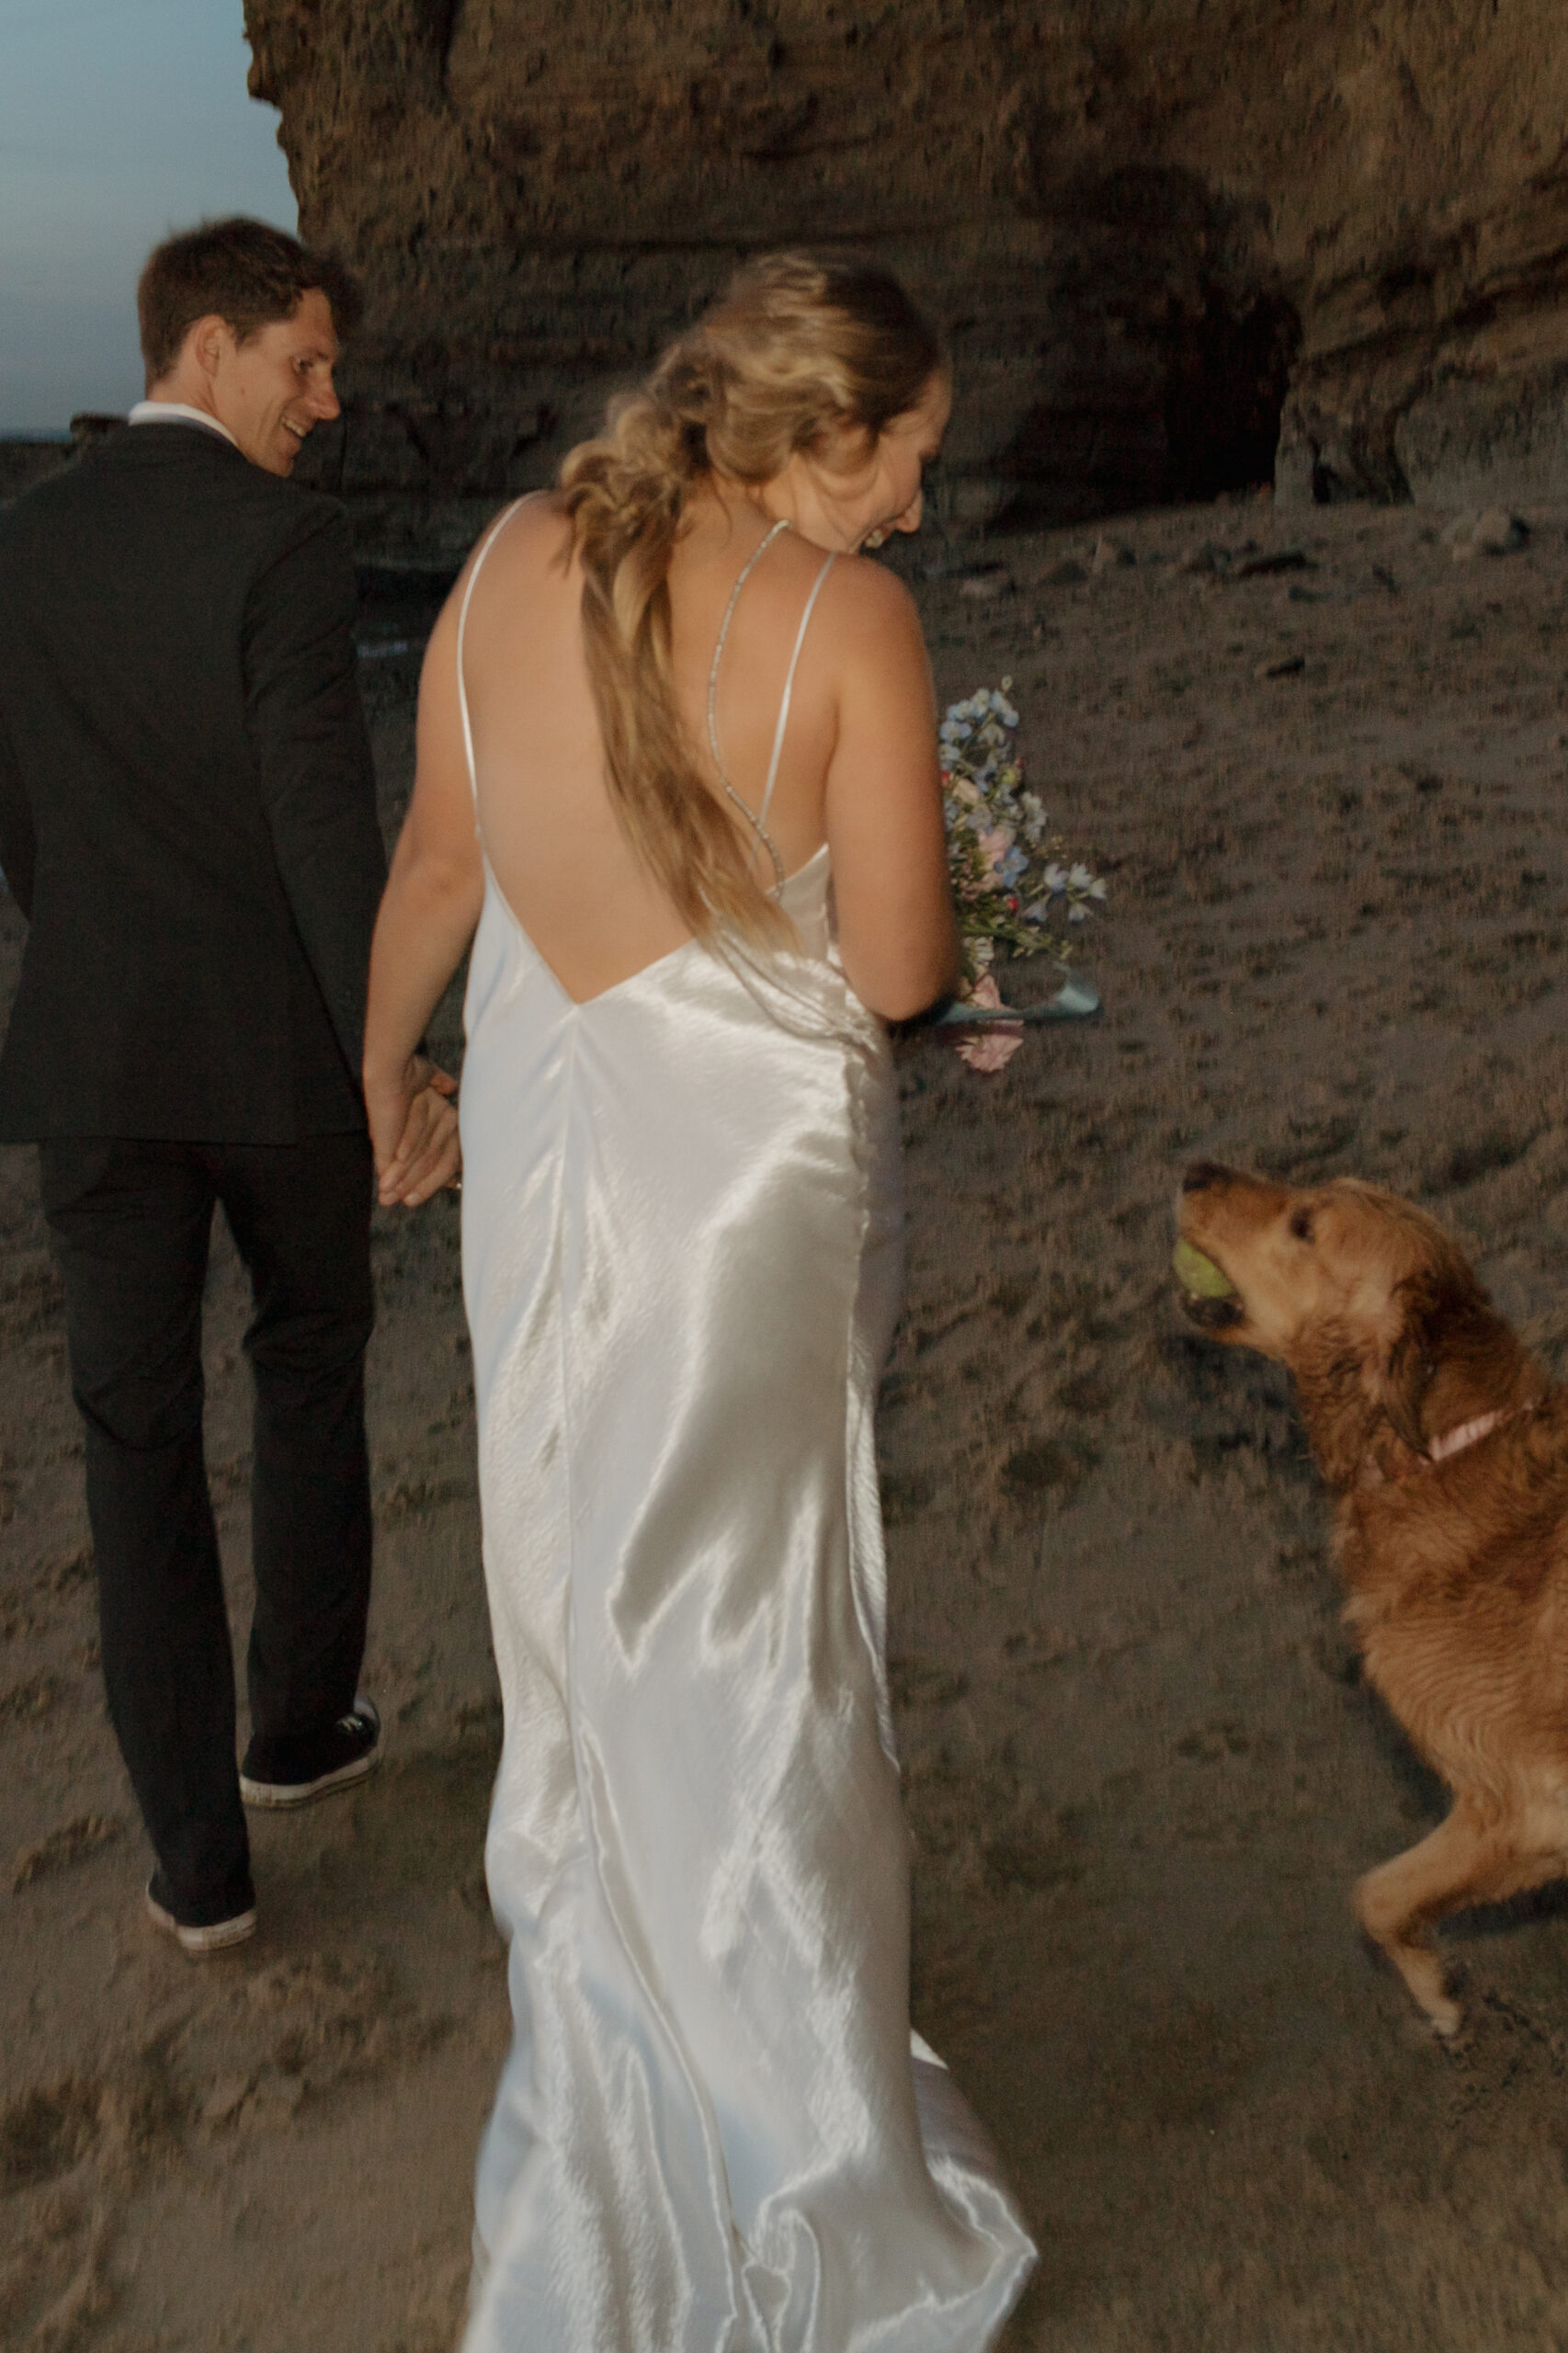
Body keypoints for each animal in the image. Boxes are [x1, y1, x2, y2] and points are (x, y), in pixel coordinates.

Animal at [1172, 1162, 1562, 2042]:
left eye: (1305, 1225)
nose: (1195, 1170)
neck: (1442, 1453)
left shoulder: (1518, 1805)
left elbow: (1376, 1898)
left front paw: (1440, 1997)